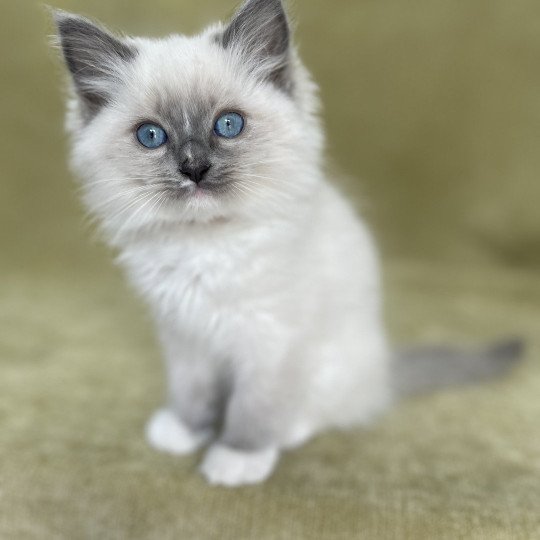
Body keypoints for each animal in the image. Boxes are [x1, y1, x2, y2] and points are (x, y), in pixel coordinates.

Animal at [52, 0, 520, 488]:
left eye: (228, 124)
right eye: (151, 136)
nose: (194, 167)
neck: (208, 242)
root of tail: (386, 367)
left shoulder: (270, 340)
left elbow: (254, 408)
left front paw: (235, 459)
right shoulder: (186, 335)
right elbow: (192, 391)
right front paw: (184, 431)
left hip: (335, 363)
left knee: (331, 409)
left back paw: (290, 431)